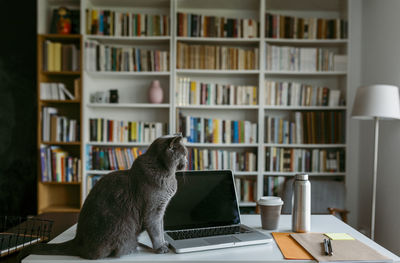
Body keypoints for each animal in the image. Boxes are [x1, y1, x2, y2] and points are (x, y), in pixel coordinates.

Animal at [18, 135, 188, 260]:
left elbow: (161, 227)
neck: (168, 174)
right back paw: (135, 248)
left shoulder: (161, 209)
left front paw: (165, 243)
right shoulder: (153, 210)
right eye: (184, 154)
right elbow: (156, 230)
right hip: (123, 232)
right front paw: (160, 247)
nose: (187, 161)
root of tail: (77, 241)